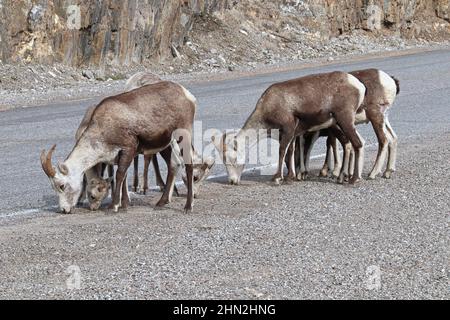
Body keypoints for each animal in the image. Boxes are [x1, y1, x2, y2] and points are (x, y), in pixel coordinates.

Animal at [40, 81, 197, 214]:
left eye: (62, 185)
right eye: (53, 187)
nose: (64, 209)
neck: (104, 128)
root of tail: (187, 95)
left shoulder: (128, 148)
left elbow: (120, 174)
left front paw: (114, 206)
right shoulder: (117, 156)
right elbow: (123, 177)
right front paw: (124, 204)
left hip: (183, 135)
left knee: (189, 165)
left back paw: (188, 207)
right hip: (165, 145)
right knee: (173, 165)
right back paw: (161, 203)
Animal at [211, 70, 366, 185]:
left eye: (232, 159)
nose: (232, 181)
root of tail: (358, 85)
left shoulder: (288, 128)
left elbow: (282, 152)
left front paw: (277, 178)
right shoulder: (290, 134)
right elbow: (289, 153)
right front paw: (290, 177)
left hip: (344, 121)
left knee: (357, 143)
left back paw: (354, 179)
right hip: (341, 124)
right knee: (356, 143)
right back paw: (345, 177)